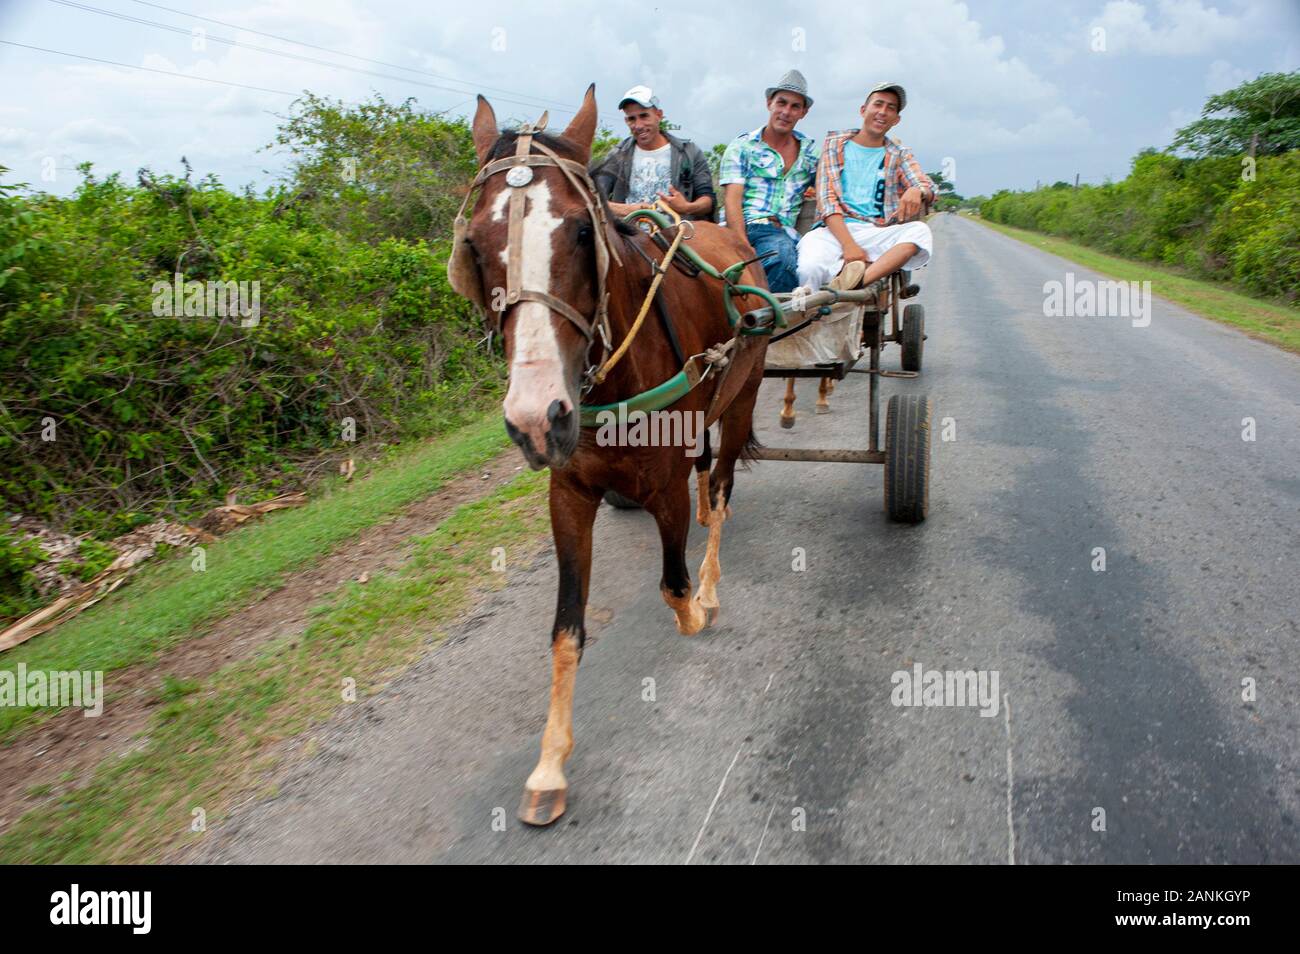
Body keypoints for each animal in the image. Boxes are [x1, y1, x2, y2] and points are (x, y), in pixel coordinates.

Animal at [447, 85, 769, 826]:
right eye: (474, 246)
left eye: (580, 232)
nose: (538, 418)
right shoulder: (568, 493)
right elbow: (566, 630)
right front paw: (549, 764)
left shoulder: (665, 484)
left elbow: (674, 587)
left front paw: (698, 607)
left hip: (743, 395)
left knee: (723, 486)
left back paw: (713, 571)